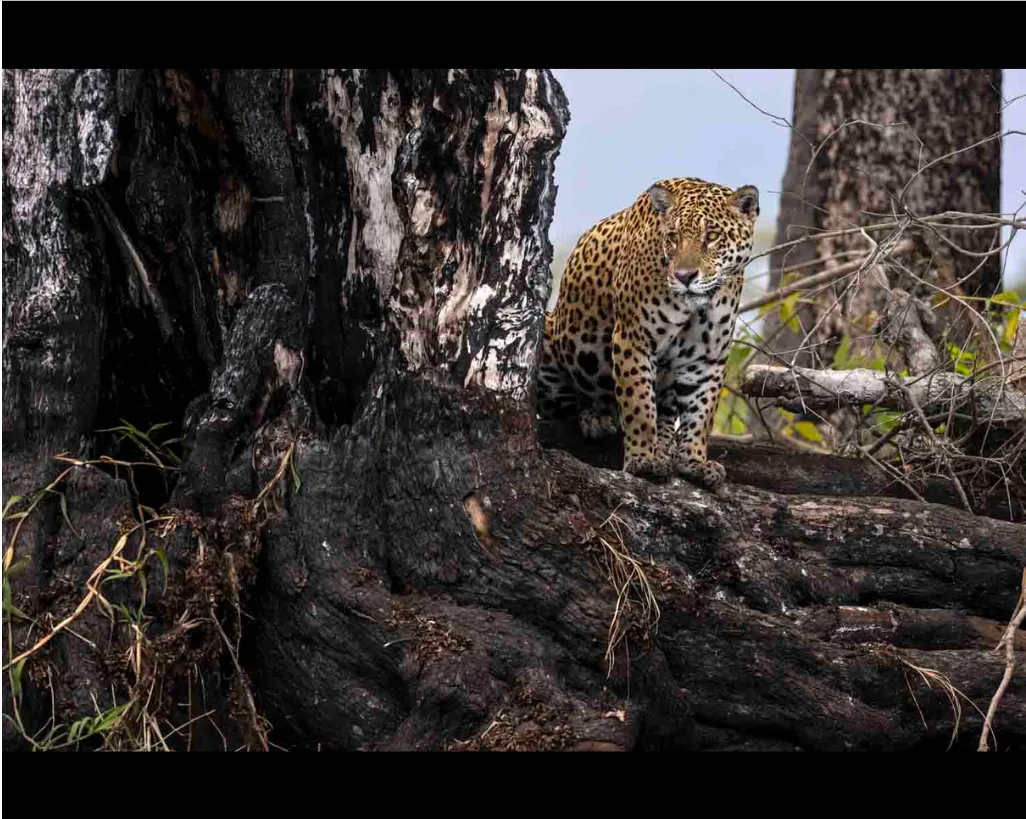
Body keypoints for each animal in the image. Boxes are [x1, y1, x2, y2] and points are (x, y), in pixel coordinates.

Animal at [536, 177, 759, 490]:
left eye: (712, 236)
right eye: (673, 237)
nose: (685, 277)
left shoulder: (708, 359)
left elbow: (701, 416)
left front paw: (695, 462)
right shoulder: (633, 340)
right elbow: (638, 404)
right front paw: (643, 460)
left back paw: (664, 446)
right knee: (571, 405)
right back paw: (596, 418)